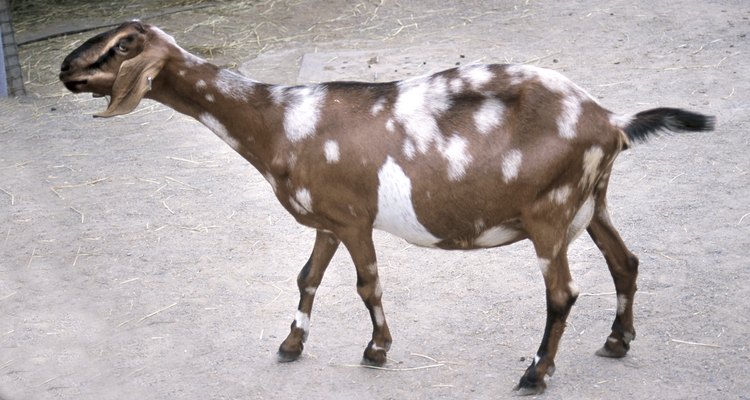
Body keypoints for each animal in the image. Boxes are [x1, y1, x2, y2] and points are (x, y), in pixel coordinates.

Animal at [60, 21, 716, 394]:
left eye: (122, 46)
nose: (66, 68)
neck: (279, 121)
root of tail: (610, 120)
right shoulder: (325, 220)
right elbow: (307, 277)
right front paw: (291, 346)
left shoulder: (354, 219)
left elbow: (366, 284)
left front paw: (376, 351)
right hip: (591, 202)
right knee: (625, 262)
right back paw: (617, 342)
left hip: (549, 217)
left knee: (563, 294)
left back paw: (535, 373)